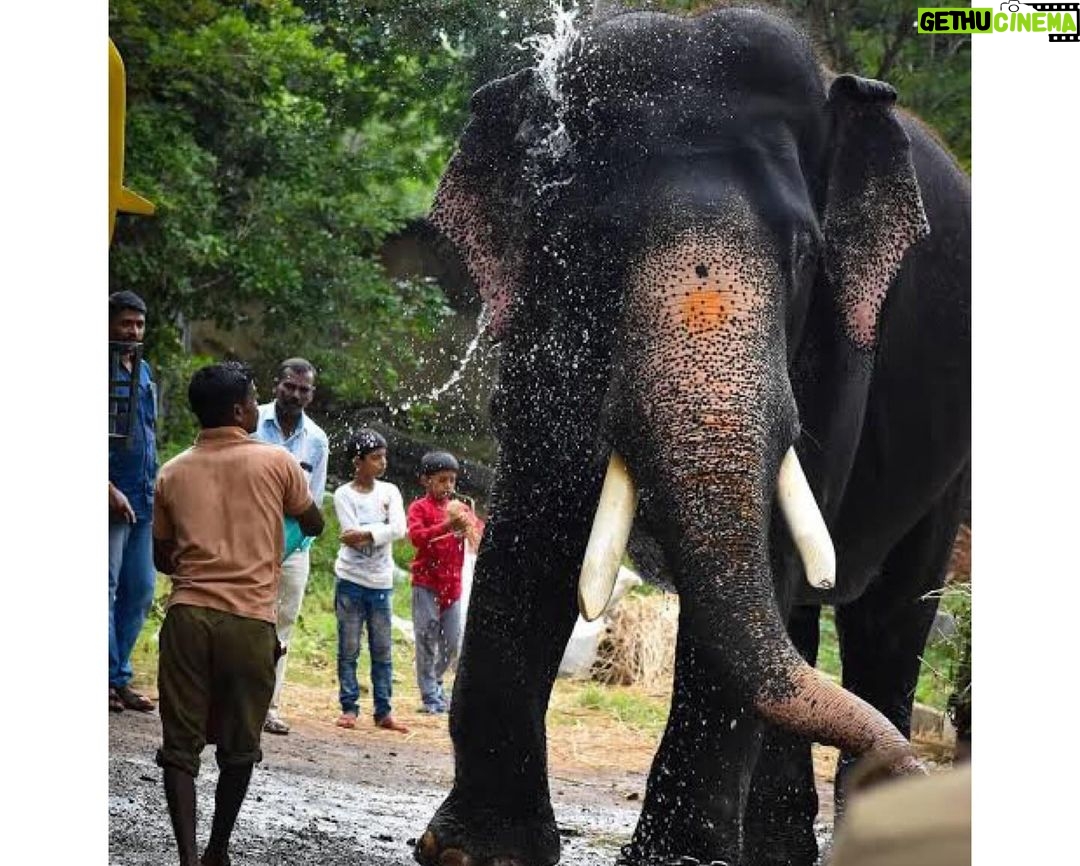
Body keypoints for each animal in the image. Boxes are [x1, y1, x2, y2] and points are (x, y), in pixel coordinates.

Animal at [413, 5, 970, 866]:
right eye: (596, 244)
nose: (908, 766)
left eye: (805, 256)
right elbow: (536, 521)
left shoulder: (840, 349)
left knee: (889, 611)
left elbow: (772, 540)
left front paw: (677, 860)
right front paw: (473, 851)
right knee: (803, 617)